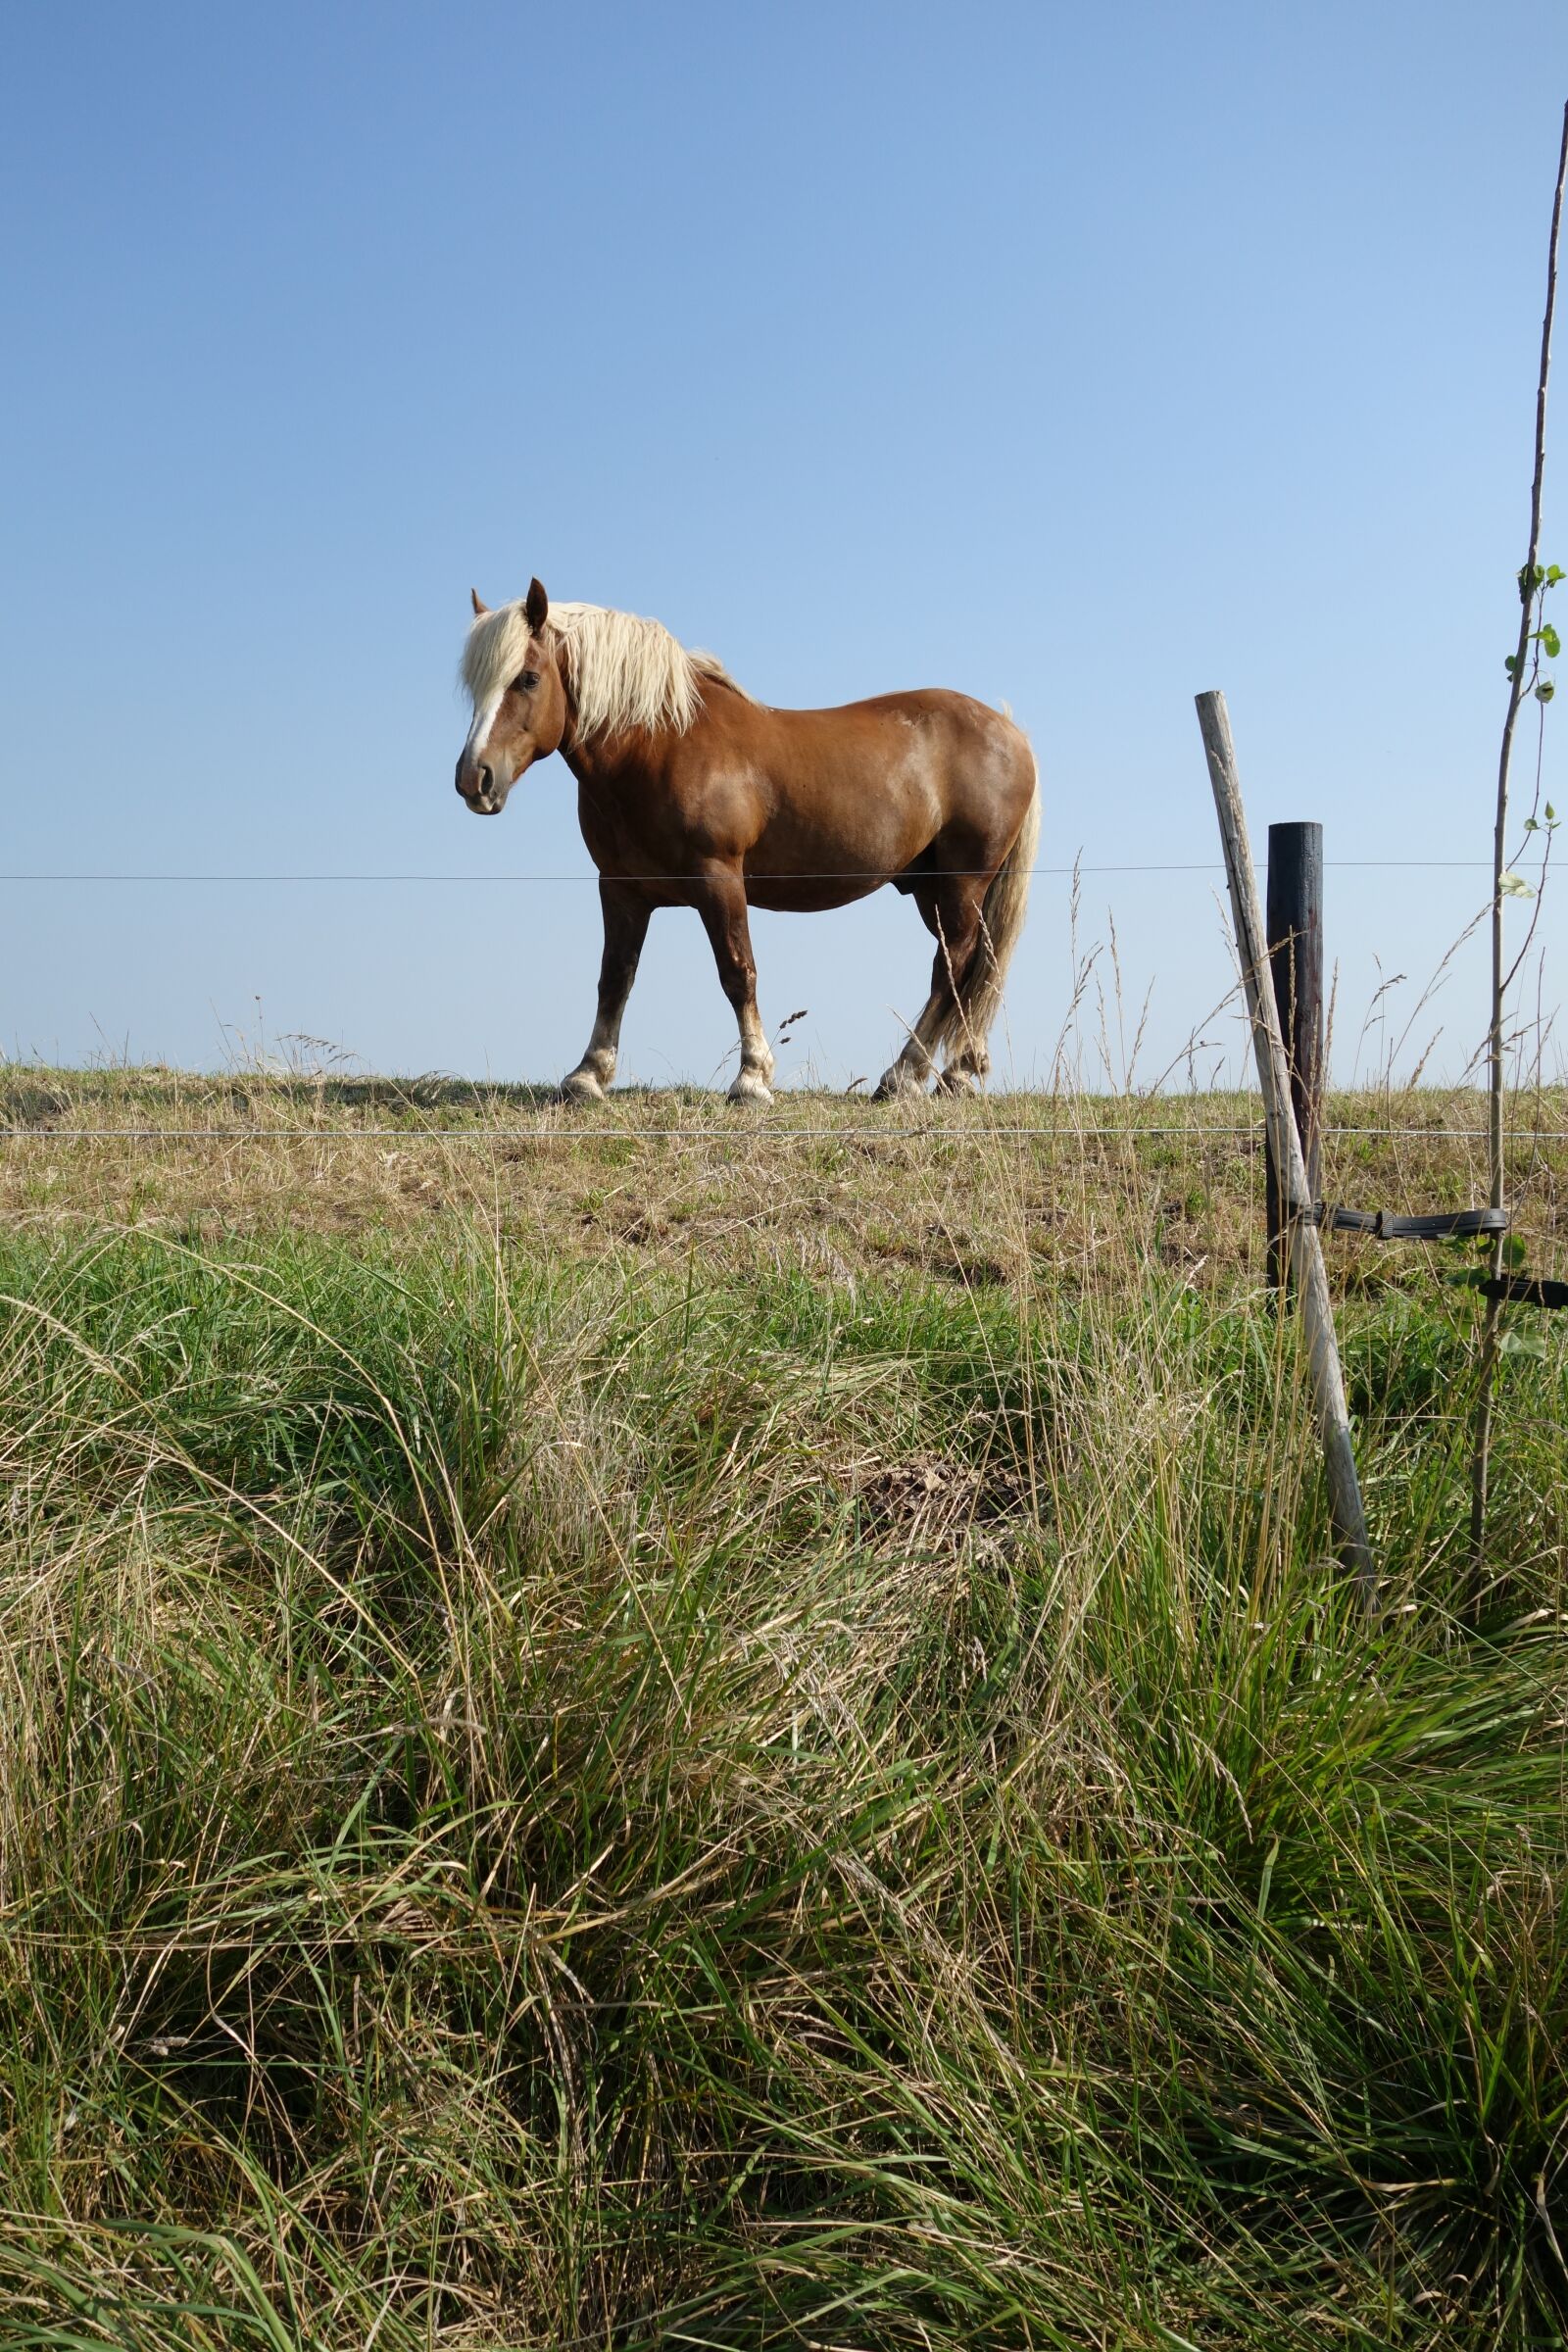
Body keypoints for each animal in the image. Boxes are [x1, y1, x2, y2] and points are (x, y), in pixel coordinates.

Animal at [454, 580, 1040, 1105]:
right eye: (474, 687)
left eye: (528, 678)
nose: (473, 779)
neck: (662, 745)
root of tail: (1009, 731)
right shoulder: (621, 889)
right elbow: (614, 977)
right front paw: (588, 1075)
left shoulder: (718, 879)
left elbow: (738, 972)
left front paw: (752, 1078)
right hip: (931, 888)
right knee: (974, 965)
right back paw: (958, 1073)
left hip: (962, 881)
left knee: (952, 967)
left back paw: (903, 1076)